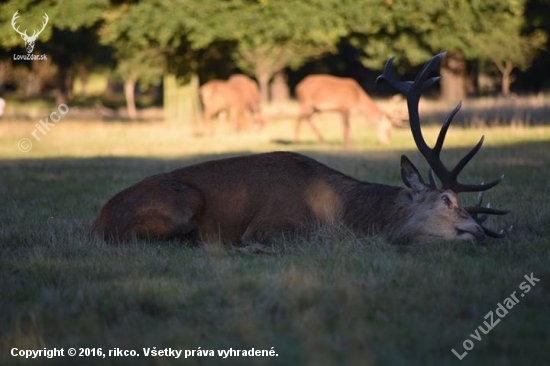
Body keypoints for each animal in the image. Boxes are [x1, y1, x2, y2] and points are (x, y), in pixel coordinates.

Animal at [92, 52, 512, 246]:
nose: (481, 230)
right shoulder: (271, 225)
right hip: (180, 205)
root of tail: (97, 220)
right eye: (447, 200)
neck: (340, 212)